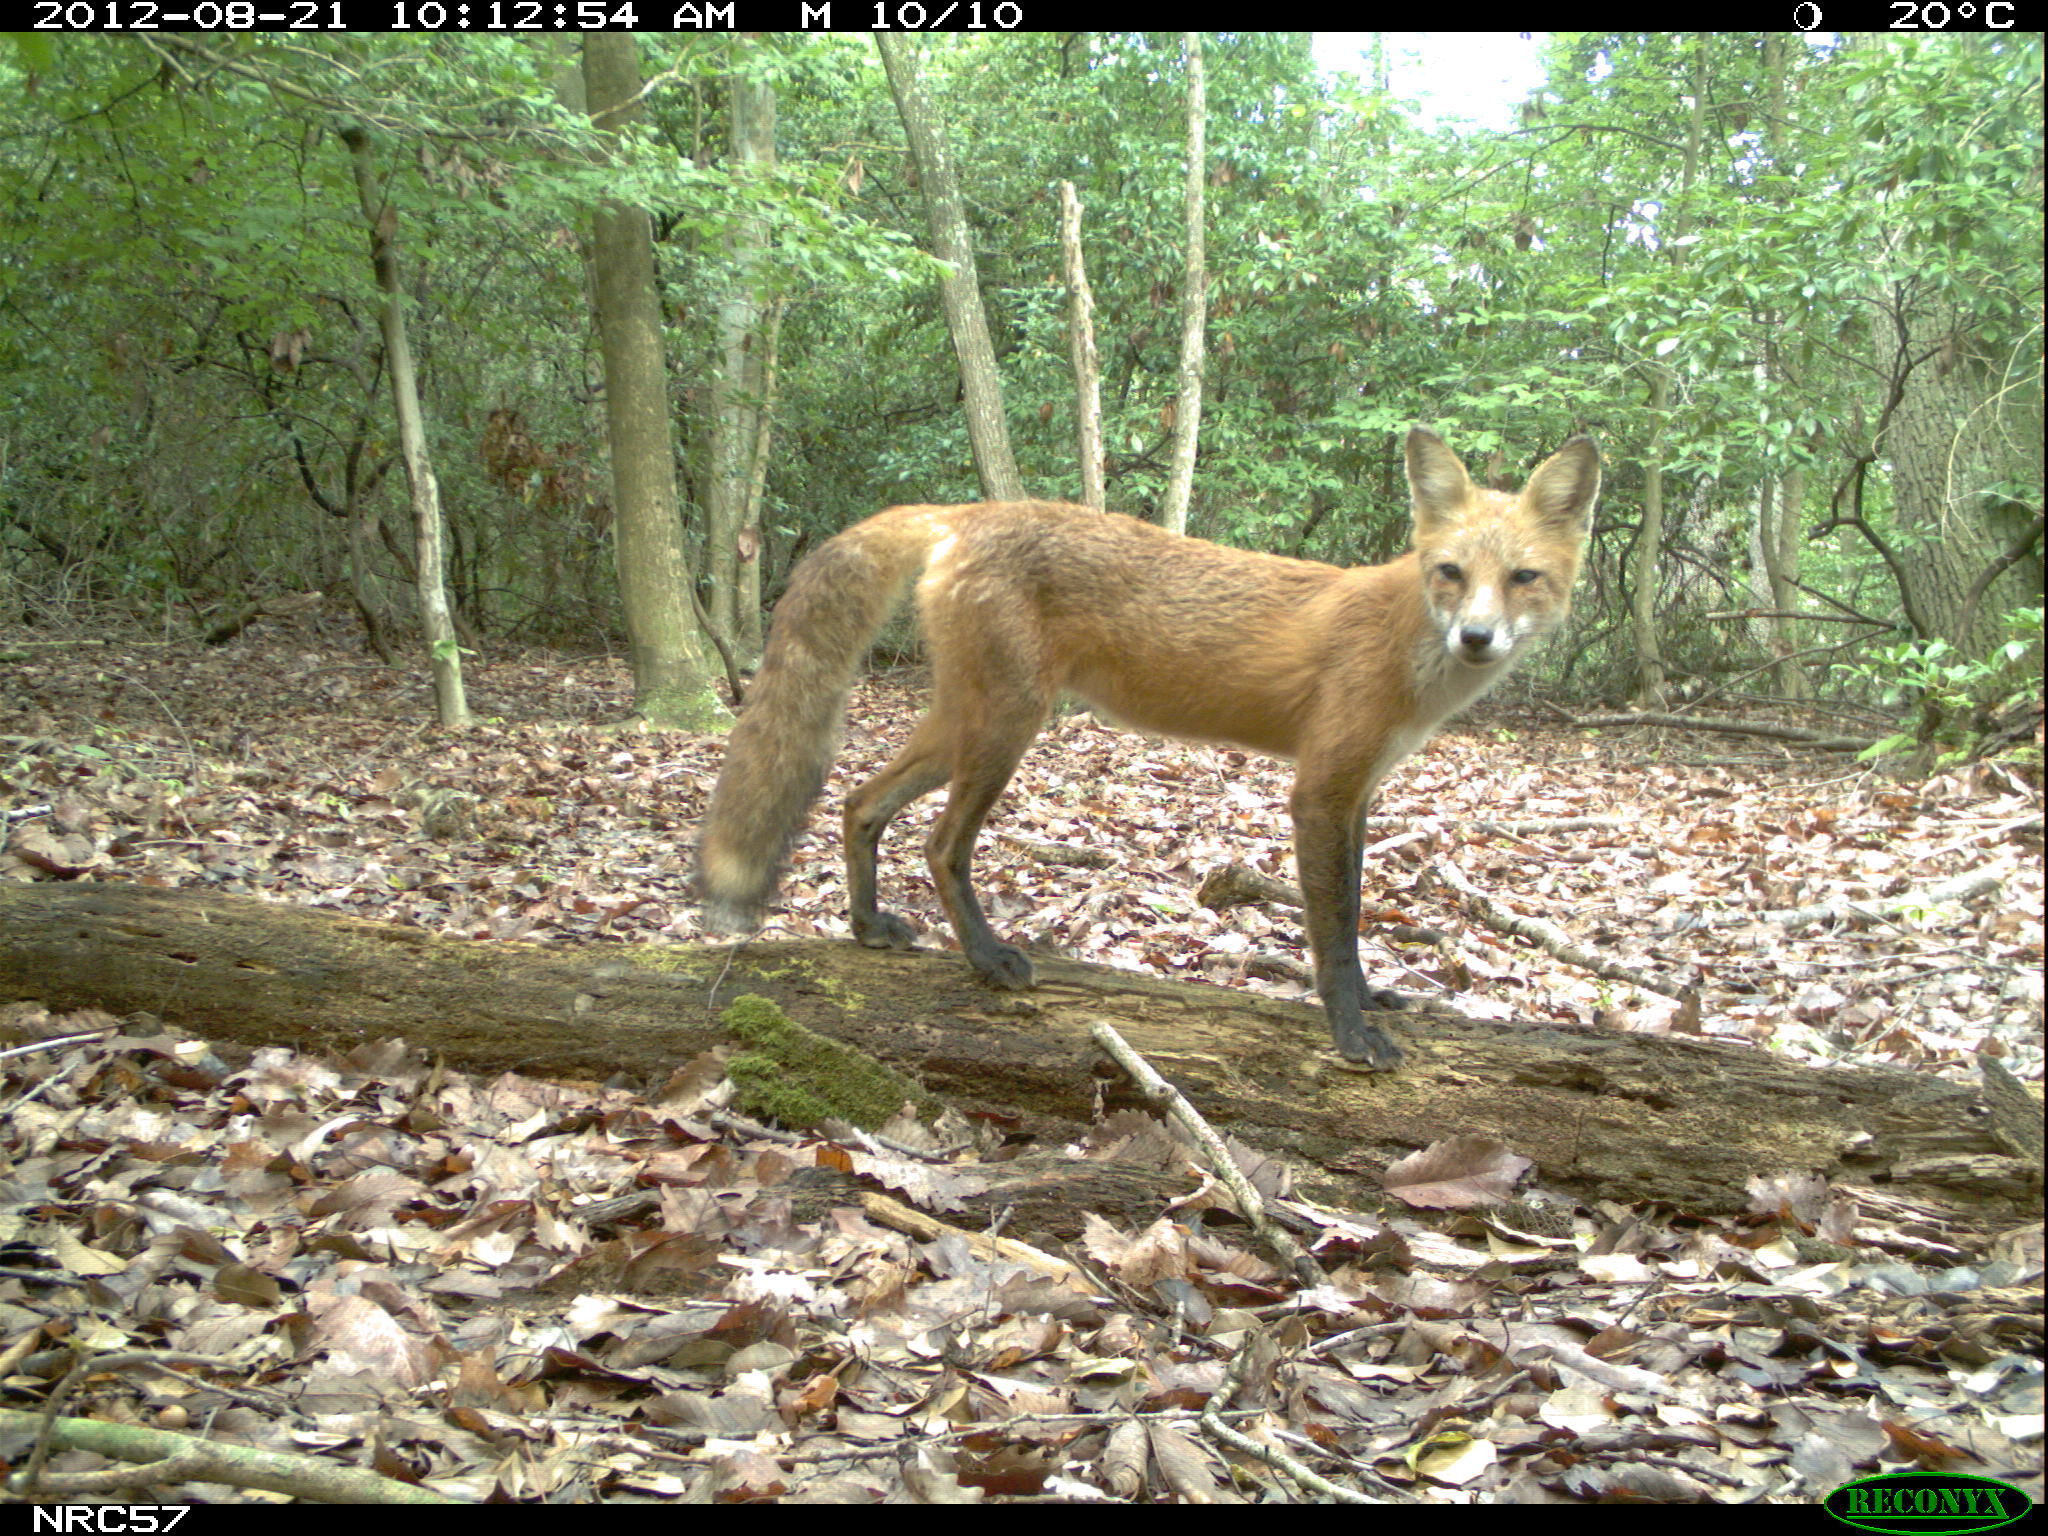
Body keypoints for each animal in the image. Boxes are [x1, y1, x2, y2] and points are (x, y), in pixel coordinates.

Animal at [700, 423, 1597, 1073]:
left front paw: (1373, 1001)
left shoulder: (1361, 791)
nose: (1476, 637)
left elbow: (1352, 911)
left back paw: (866, 927)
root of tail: (968, 513)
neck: (1407, 647)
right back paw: (987, 959)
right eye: (1450, 572)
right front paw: (1350, 1033)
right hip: (1006, 728)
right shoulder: (1320, 790)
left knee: (858, 802)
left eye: (1523, 578)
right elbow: (1334, 930)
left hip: (963, 723)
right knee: (941, 843)